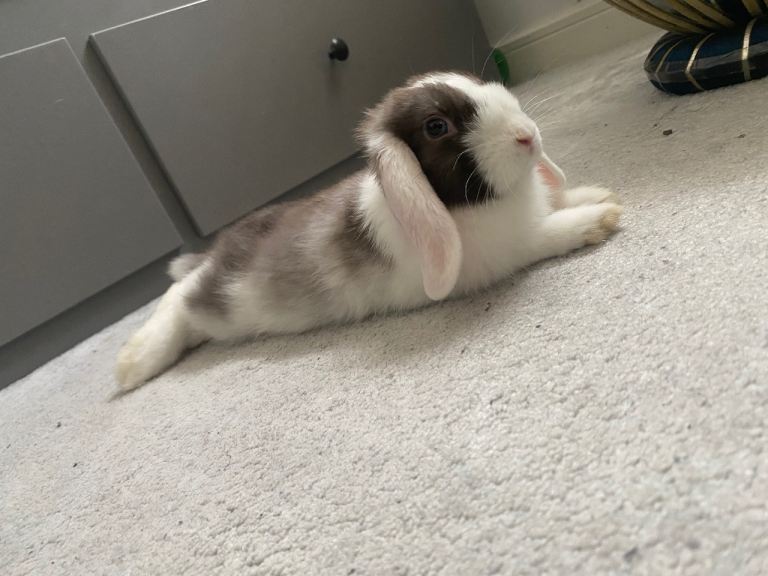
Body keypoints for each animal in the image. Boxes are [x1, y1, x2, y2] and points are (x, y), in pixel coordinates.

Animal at [116, 71, 622, 390]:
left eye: (477, 84)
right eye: (436, 126)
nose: (526, 135)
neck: (466, 205)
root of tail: (215, 253)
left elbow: (559, 201)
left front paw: (596, 193)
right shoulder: (502, 254)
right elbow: (545, 235)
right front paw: (601, 217)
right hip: (219, 302)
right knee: (176, 299)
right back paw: (132, 364)